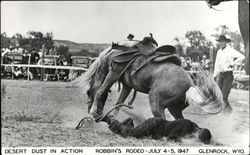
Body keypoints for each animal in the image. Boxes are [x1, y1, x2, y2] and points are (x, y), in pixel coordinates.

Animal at [78, 44, 225, 121]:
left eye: (88, 92)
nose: (97, 114)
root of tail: (190, 85)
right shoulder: (127, 85)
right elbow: (119, 102)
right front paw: (112, 118)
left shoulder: (114, 73)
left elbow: (100, 91)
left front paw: (92, 113)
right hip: (174, 109)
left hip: (156, 102)